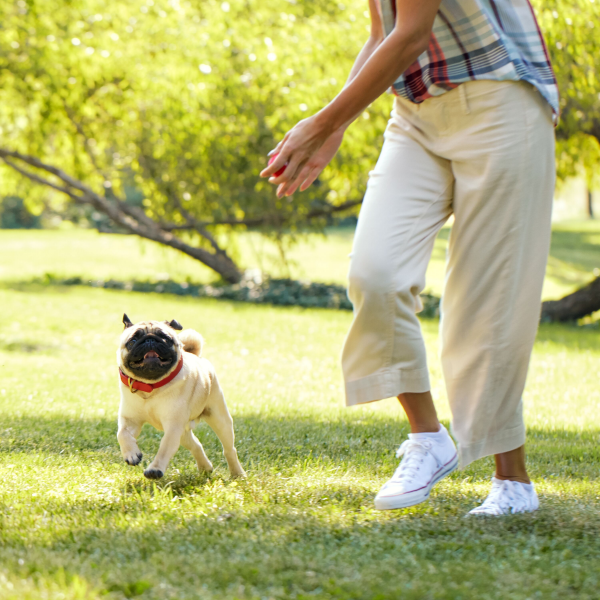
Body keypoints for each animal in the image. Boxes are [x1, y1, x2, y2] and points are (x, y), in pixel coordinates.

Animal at [116, 314, 245, 478]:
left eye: (166, 339)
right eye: (132, 341)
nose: (150, 340)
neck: (151, 386)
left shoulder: (173, 427)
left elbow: (164, 448)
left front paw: (155, 469)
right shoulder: (130, 420)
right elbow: (122, 434)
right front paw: (131, 455)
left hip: (220, 419)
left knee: (229, 449)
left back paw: (237, 473)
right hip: (184, 431)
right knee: (196, 445)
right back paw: (205, 467)